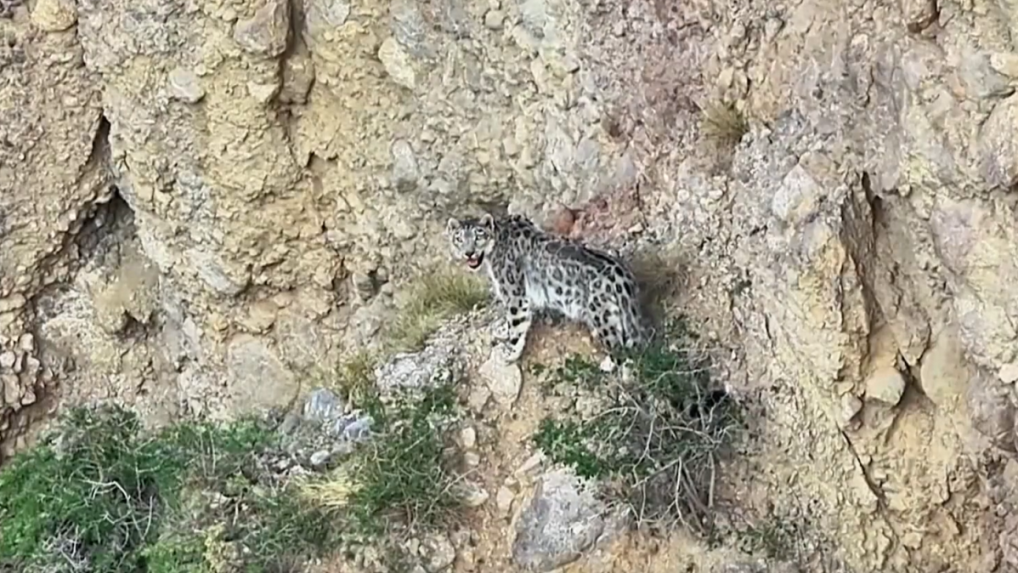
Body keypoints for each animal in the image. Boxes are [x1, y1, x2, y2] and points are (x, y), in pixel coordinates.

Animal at [445, 212, 649, 362]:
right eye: (459, 238)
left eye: (478, 236)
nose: (468, 252)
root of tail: (622, 277)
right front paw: (503, 331)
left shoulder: (514, 294)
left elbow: (516, 324)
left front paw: (508, 353)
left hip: (603, 319)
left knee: (622, 350)